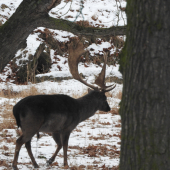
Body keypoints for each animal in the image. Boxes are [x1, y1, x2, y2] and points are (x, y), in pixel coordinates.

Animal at [11, 38, 115, 170]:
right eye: (105, 98)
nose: (109, 108)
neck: (79, 112)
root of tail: (16, 109)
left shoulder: (55, 129)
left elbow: (59, 144)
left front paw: (49, 161)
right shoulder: (67, 127)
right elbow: (65, 145)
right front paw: (66, 164)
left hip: (28, 126)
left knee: (27, 143)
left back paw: (35, 164)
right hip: (31, 123)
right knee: (20, 141)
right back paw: (15, 165)